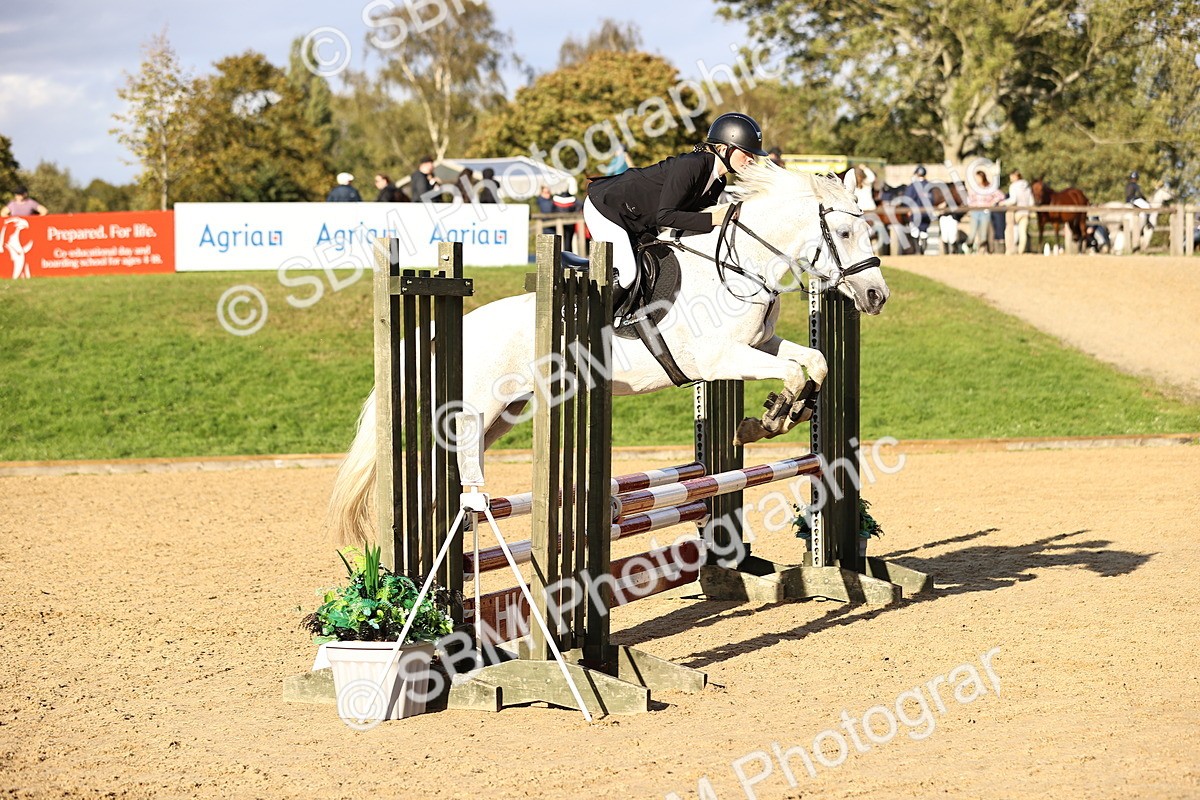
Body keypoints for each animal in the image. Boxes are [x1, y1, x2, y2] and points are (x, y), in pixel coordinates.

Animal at [326, 163, 890, 546]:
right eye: (843, 232)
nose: (876, 296)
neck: (740, 263)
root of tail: (464, 322)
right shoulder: (720, 360)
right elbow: (793, 370)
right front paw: (768, 418)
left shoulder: (754, 345)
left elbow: (813, 362)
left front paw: (775, 418)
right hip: (482, 406)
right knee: (460, 451)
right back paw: (473, 506)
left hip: (506, 413)